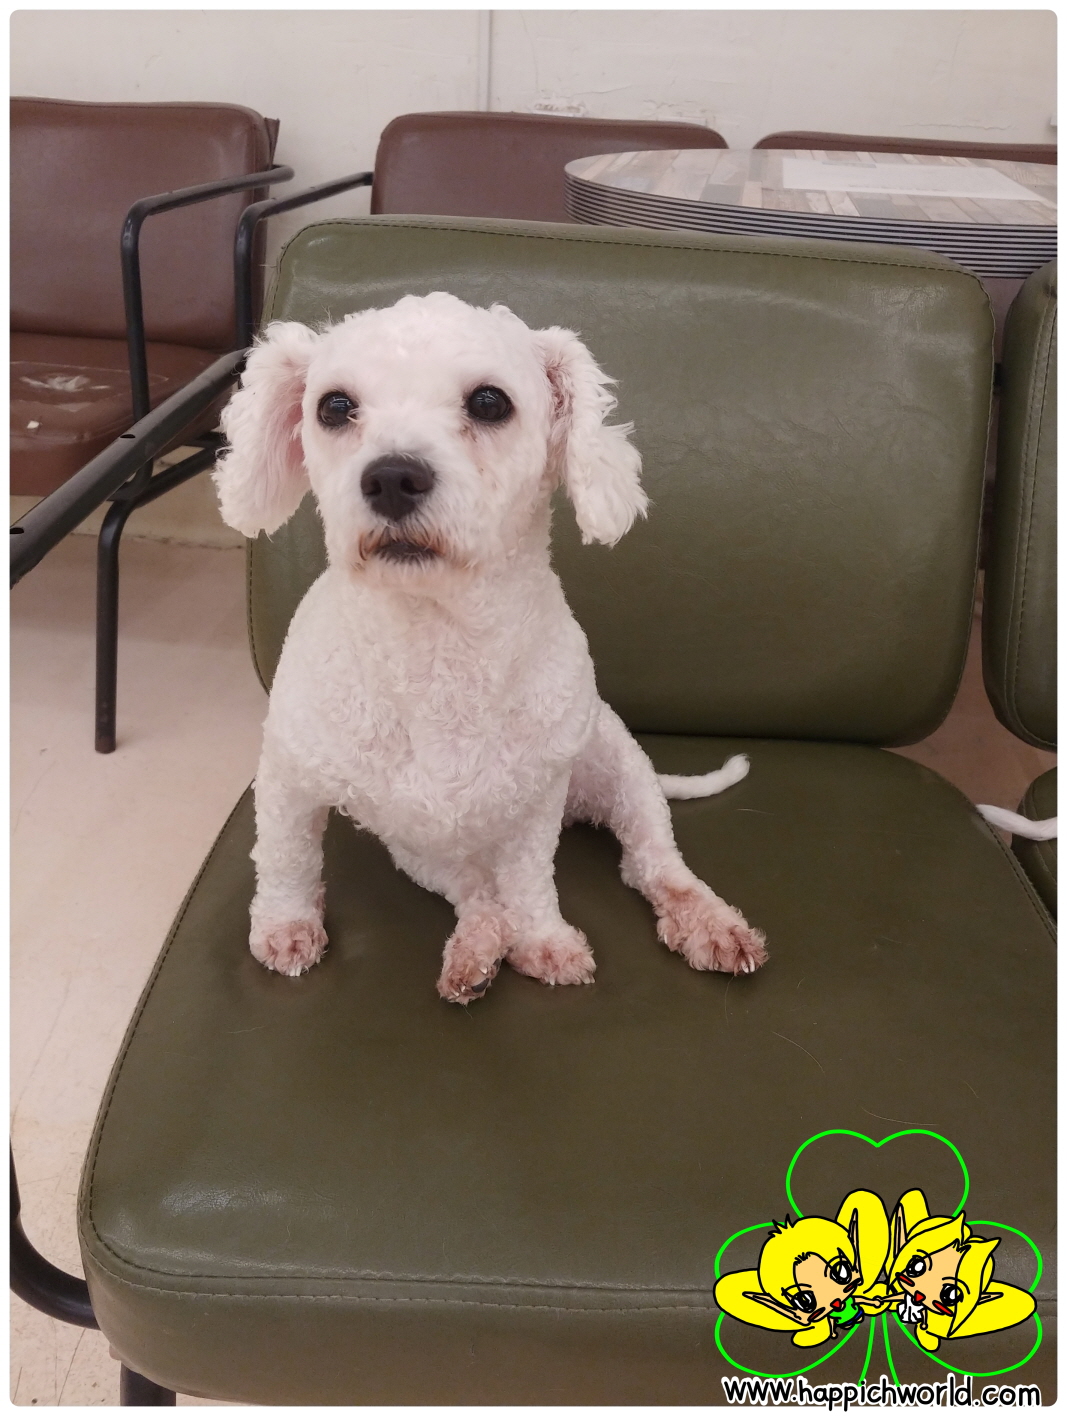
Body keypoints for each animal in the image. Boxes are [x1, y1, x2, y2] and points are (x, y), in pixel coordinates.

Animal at [214, 292, 767, 1002]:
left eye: (488, 402)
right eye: (334, 406)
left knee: (653, 866)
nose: (391, 477)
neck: (438, 648)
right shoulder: (288, 777)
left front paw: (545, 939)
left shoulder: (535, 808)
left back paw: (708, 923)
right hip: (424, 849)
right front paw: (285, 929)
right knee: (479, 896)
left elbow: (531, 883)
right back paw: (474, 951)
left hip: (625, 777)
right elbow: (286, 860)